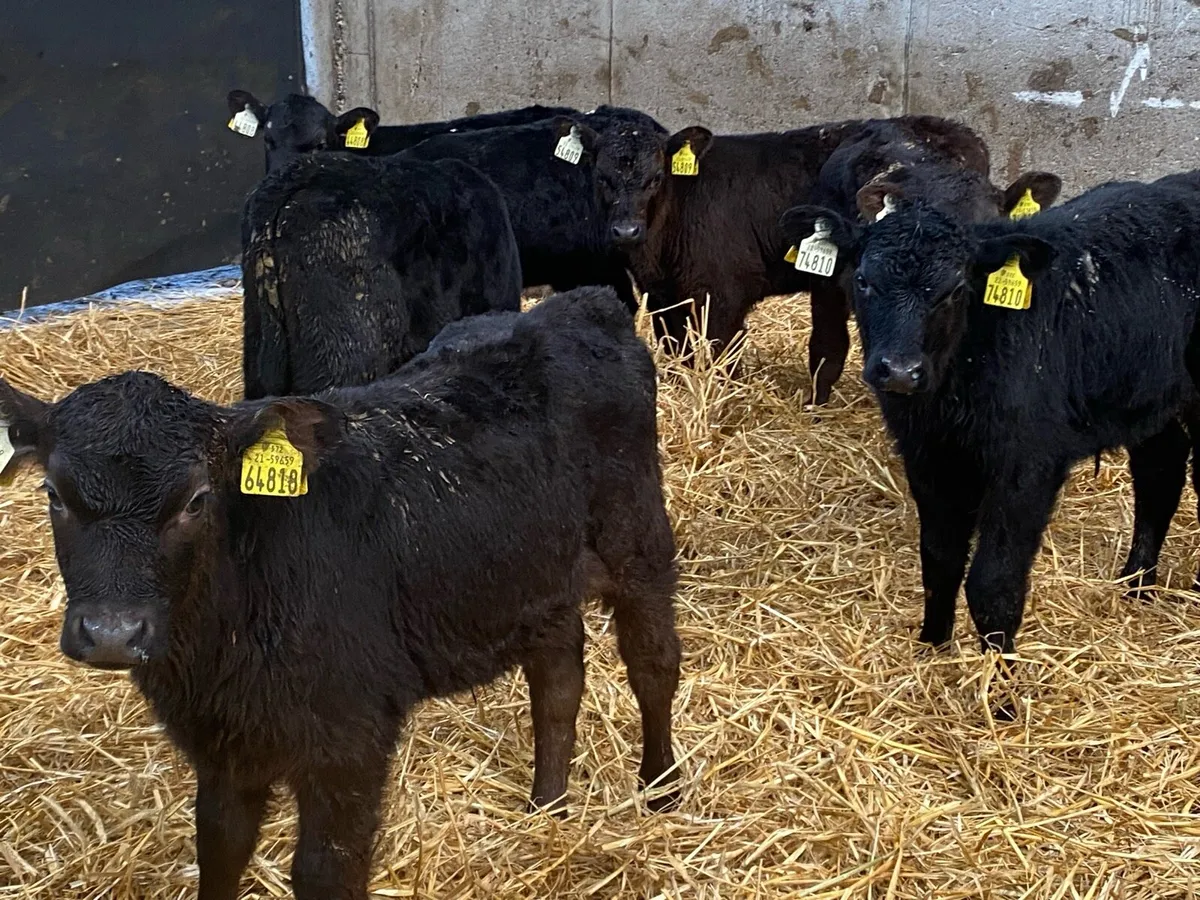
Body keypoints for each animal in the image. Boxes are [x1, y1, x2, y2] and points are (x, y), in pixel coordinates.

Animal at [0, 284, 682, 900]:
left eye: (196, 499)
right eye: (54, 495)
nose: (113, 633)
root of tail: (575, 303)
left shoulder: (351, 735)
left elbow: (327, 871)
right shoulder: (222, 745)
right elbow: (219, 848)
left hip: (638, 538)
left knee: (653, 663)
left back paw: (662, 788)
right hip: (539, 578)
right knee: (558, 682)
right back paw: (547, 809)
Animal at [616, 116, 992, 372]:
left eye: (656, 178)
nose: (625, 230)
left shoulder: (721, 298)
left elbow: (722, 359)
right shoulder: (662, 298)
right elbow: (678, 352)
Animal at [777, 171, 1200, 662]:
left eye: (956, 289)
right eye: (863, 280)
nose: (899, 370)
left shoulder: (1027, 465)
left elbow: (993, 583)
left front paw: (1000, 678)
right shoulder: (927, 455)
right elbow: (939, 558)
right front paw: (932, 647)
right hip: (1148, 397)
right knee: (1161, 471)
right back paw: (1136, 585)